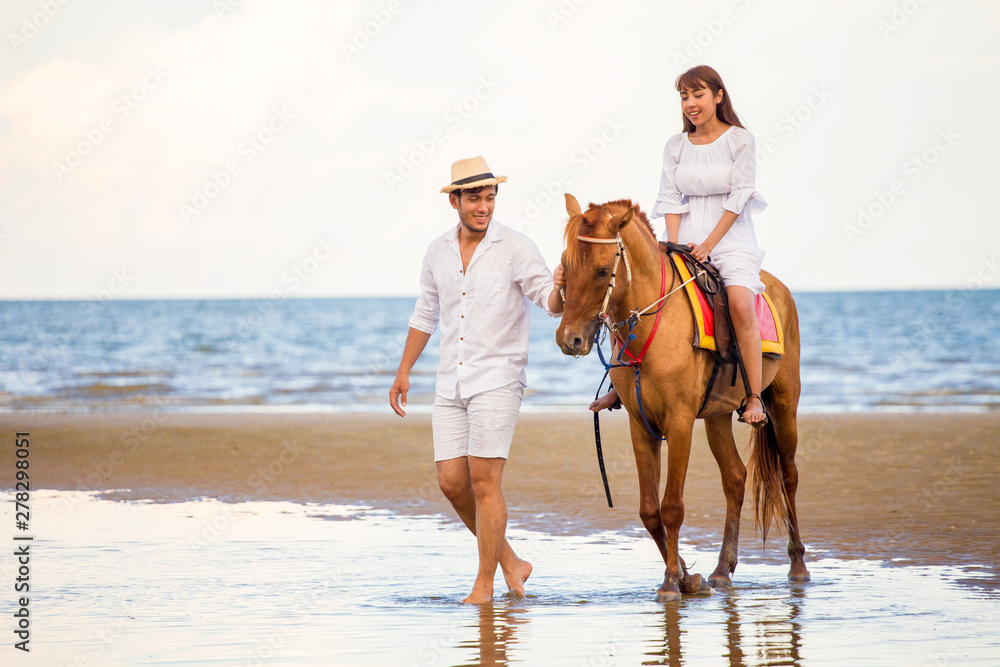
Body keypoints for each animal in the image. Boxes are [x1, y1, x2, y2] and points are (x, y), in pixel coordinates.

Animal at [560, 193, 808, 600]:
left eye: (600, 271)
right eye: (565, 267)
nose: (569, 339)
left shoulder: (678, 423)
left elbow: (672, 506)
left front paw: (671, 584)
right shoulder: (641, 425)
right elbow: (649, 510)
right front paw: (686, 577)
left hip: (783, 404)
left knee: (788, 476)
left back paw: (798, 564)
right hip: (717, 415)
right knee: (735, 478)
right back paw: (723, 570)